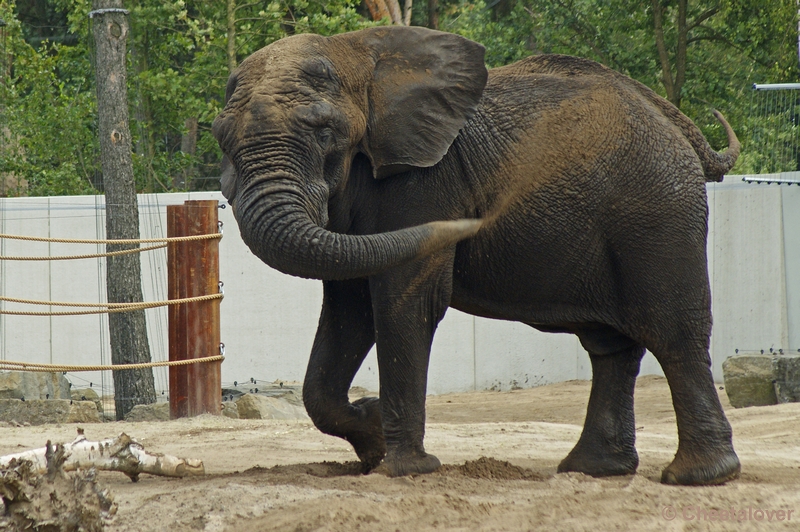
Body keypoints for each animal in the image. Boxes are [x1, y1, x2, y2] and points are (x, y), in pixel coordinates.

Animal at [211, 25, 736, 484]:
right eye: (222, 139)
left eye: (324, 133)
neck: (356, 55)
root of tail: (670, 117)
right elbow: (348, 310)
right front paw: (373, 437)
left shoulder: (426, 182)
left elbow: (404, 304)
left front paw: (403, 470)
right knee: (611, 346)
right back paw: (593, 470)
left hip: (658, 210)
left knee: (673, 331)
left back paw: (699, 477)